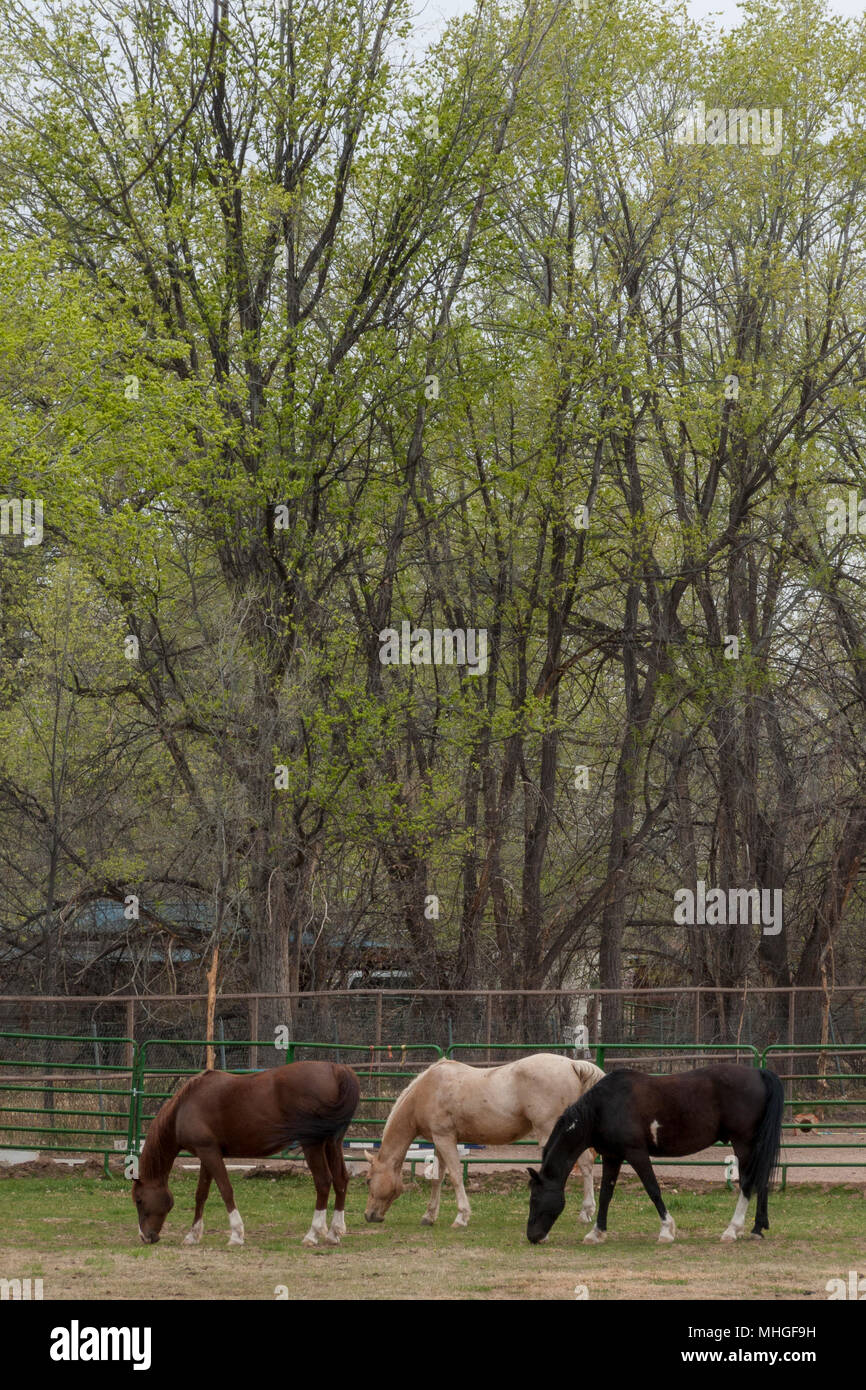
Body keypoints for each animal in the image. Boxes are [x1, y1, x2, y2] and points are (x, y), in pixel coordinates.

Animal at [132, 1061, 360, 1248]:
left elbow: (226, 1190)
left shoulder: (209, 1153)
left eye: (139, 1200)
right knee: (341, 1180)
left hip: (312, 1144)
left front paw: (236, 1234)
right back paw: (334, 1233)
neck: (185, 1106)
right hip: (332, 1143)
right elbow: (201, 1194)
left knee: (323, 1182)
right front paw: (193, 1235)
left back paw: (312, 1234)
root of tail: (336, 1069)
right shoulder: (207, 1154)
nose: (145, 1237)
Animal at [364, 1055, 604, 1228]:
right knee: (586, 1163)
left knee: (581, 1163)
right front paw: (429, 1216)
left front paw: (461, 1217)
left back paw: (584, 1211)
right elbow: (437, 1178)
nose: (369, 1215)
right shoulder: (439, 1141)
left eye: (368, 1180)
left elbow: (454, 1176)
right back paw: (585, 1213)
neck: (427, 1090)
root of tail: (572, 1064)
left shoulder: (445, 1139)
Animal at [526, 1063, 783, 1246]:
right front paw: (596, 1233)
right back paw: (757, 1229)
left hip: (743, 1144)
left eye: (535, 1198)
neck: (603, 1108)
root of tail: (759, 1072)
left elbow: (653, 1189)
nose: (532, 1236)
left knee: (748, 1183)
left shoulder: (636, 1153)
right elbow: (606, 1194)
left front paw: (667, 1230)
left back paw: (732, 1229)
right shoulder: (612, 1157)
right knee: (761, 1180)